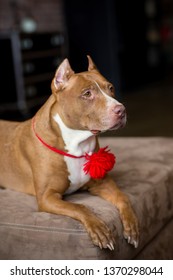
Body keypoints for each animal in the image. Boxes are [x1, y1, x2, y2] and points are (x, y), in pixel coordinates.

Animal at [0, 55, 139, 249]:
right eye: (87, 94)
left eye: (110, 88)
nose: (121, 110)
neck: (77, 144)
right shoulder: (47, 197)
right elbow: (79, 207)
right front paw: (99, 229)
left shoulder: (103, 183)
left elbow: (123, 197)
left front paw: (132, 227)